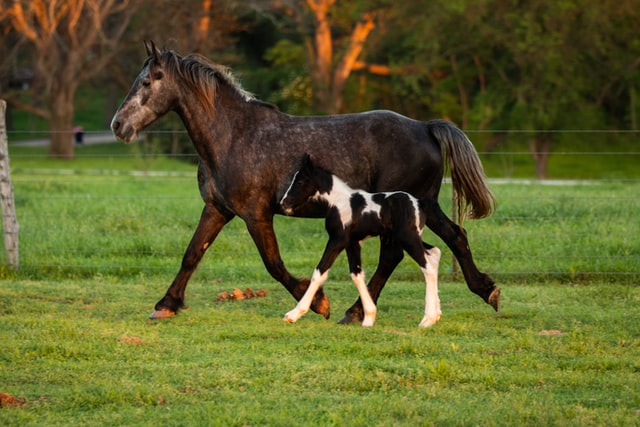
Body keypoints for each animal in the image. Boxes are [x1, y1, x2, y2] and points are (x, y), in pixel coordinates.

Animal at [280, 155, 440, 330]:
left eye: (300, 181)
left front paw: (293, 314)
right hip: (409, 237)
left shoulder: (337, 240)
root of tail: (419, 203)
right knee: (435, 254)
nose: (283, 203)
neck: (339, 202)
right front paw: (368, 317)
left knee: (427, 267)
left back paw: (427, 319)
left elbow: (319, 272)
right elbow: (356, 274)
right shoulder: (353, 243)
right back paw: (436, 315)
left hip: (408, 239)